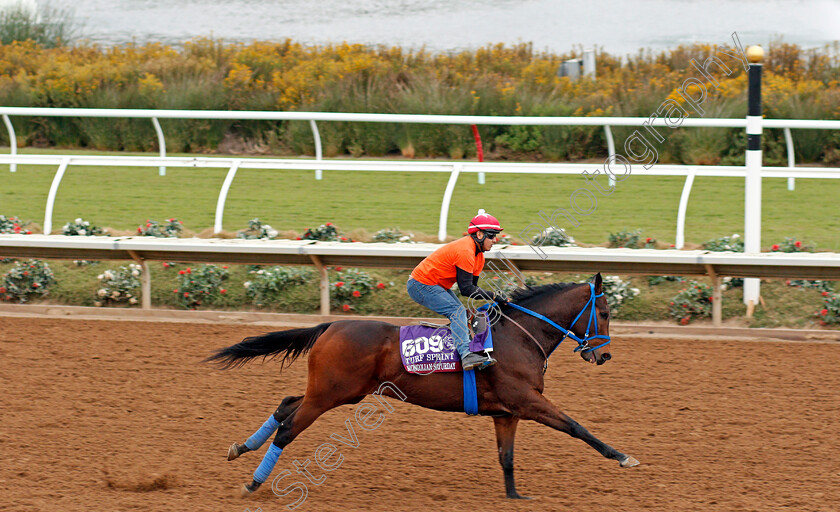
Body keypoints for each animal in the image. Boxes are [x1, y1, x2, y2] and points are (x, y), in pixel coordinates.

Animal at [208, 274, 636, 498]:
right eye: (605, 312)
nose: (603, 355)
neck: (518, 336)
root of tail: (330, 326)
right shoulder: (528, 402)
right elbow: (577, 427)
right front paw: (622, 456)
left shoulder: (506, 412)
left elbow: (507, 457)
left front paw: (515, 496)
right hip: (332, 393)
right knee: (288, 429)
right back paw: (253, 483)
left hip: (336, 392)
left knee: (285, 404)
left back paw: (240, 448)